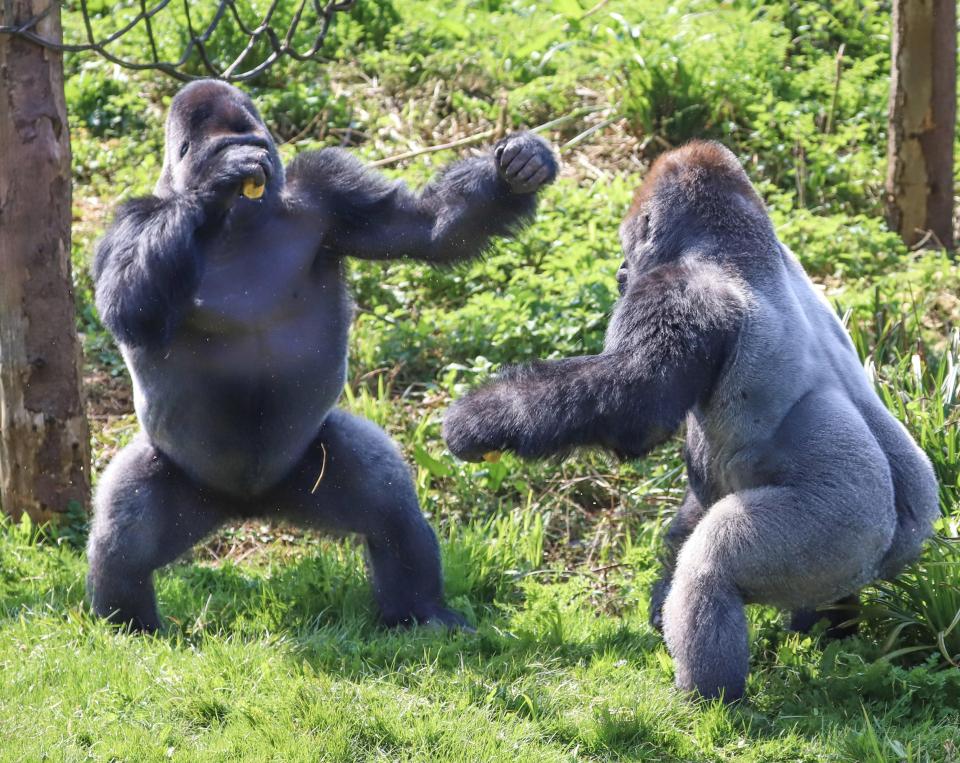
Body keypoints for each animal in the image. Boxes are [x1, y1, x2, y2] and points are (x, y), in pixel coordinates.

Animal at [90, 80, 560, 636]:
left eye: (255, 139)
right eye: (228, 147)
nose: (252, 163)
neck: (238, 221)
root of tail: (249, 506)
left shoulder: (329, 192)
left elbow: (426, 226)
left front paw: (517, 171)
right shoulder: (130, 222)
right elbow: (128, 305)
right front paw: (212, 184)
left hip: (309, 468)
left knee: (389, 511)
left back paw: (422, 610)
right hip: (185, 479)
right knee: (124, 539)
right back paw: (128, 625)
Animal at [446, 140, 940, 700]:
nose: (621, 271)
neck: (740, 242)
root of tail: (901, 537)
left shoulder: (679, 289)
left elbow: (633, 408)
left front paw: (483, 417)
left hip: (841, 529)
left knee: (711, 567)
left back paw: (706, 695)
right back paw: (830, 635)